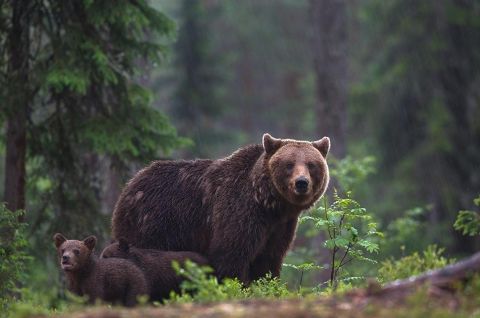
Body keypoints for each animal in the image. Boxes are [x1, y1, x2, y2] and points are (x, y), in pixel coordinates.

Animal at [111, 133, 330, 284]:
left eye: (311, 164)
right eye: (289, 164)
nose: (301, 183)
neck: (269, 203)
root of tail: (129, 185)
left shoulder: (279, 227)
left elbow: (268, 261)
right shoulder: (239, 211)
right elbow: (230, 255)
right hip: (155, 223)